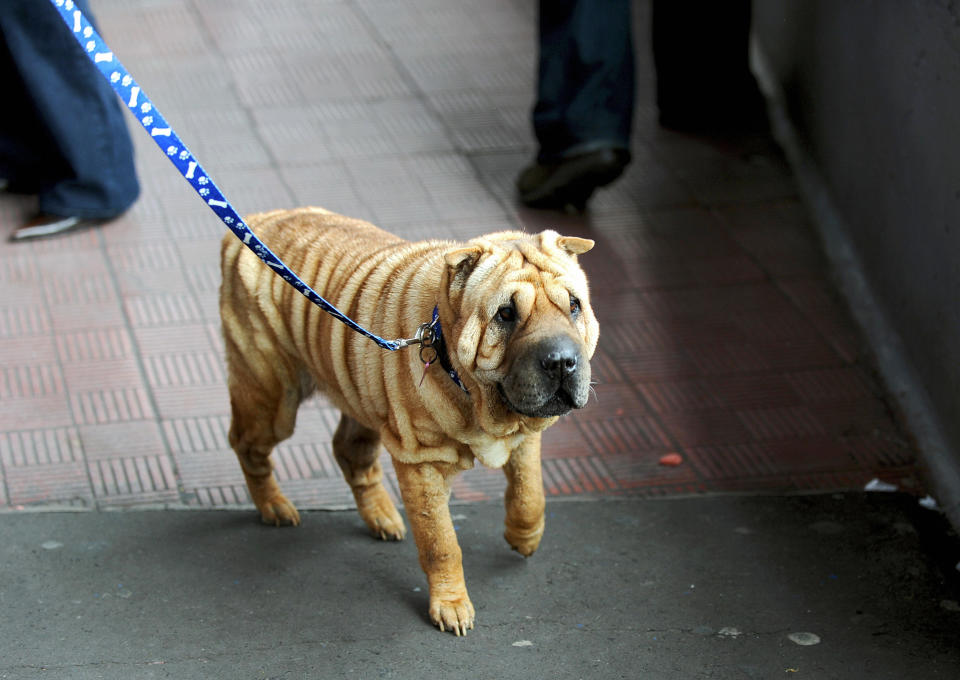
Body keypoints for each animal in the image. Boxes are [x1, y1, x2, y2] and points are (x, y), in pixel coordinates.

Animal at [220, 206, 596, 632]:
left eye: (574, 305)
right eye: (506, 313)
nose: (562, 361)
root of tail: (254, 220)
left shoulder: (524, 437)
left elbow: (531, 494)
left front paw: (524, 538)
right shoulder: (421, 461)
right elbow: (441, 541)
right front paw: (451, 606)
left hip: (362, 393)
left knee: (349, 451)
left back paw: (382, 517)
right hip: (271, 397)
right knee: (247, 445)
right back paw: (274, 506)